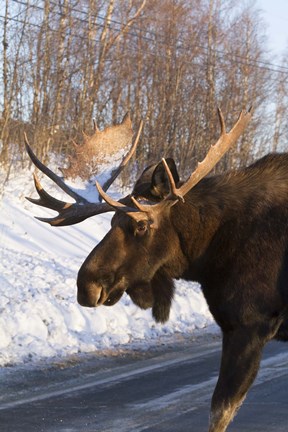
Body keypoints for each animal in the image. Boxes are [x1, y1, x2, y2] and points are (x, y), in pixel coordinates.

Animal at [24, 109, 288, 432]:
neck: (208, 255)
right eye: (111, 222)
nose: (86, 285)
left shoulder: (249, 324)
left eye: (140, 224)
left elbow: (219, 413)